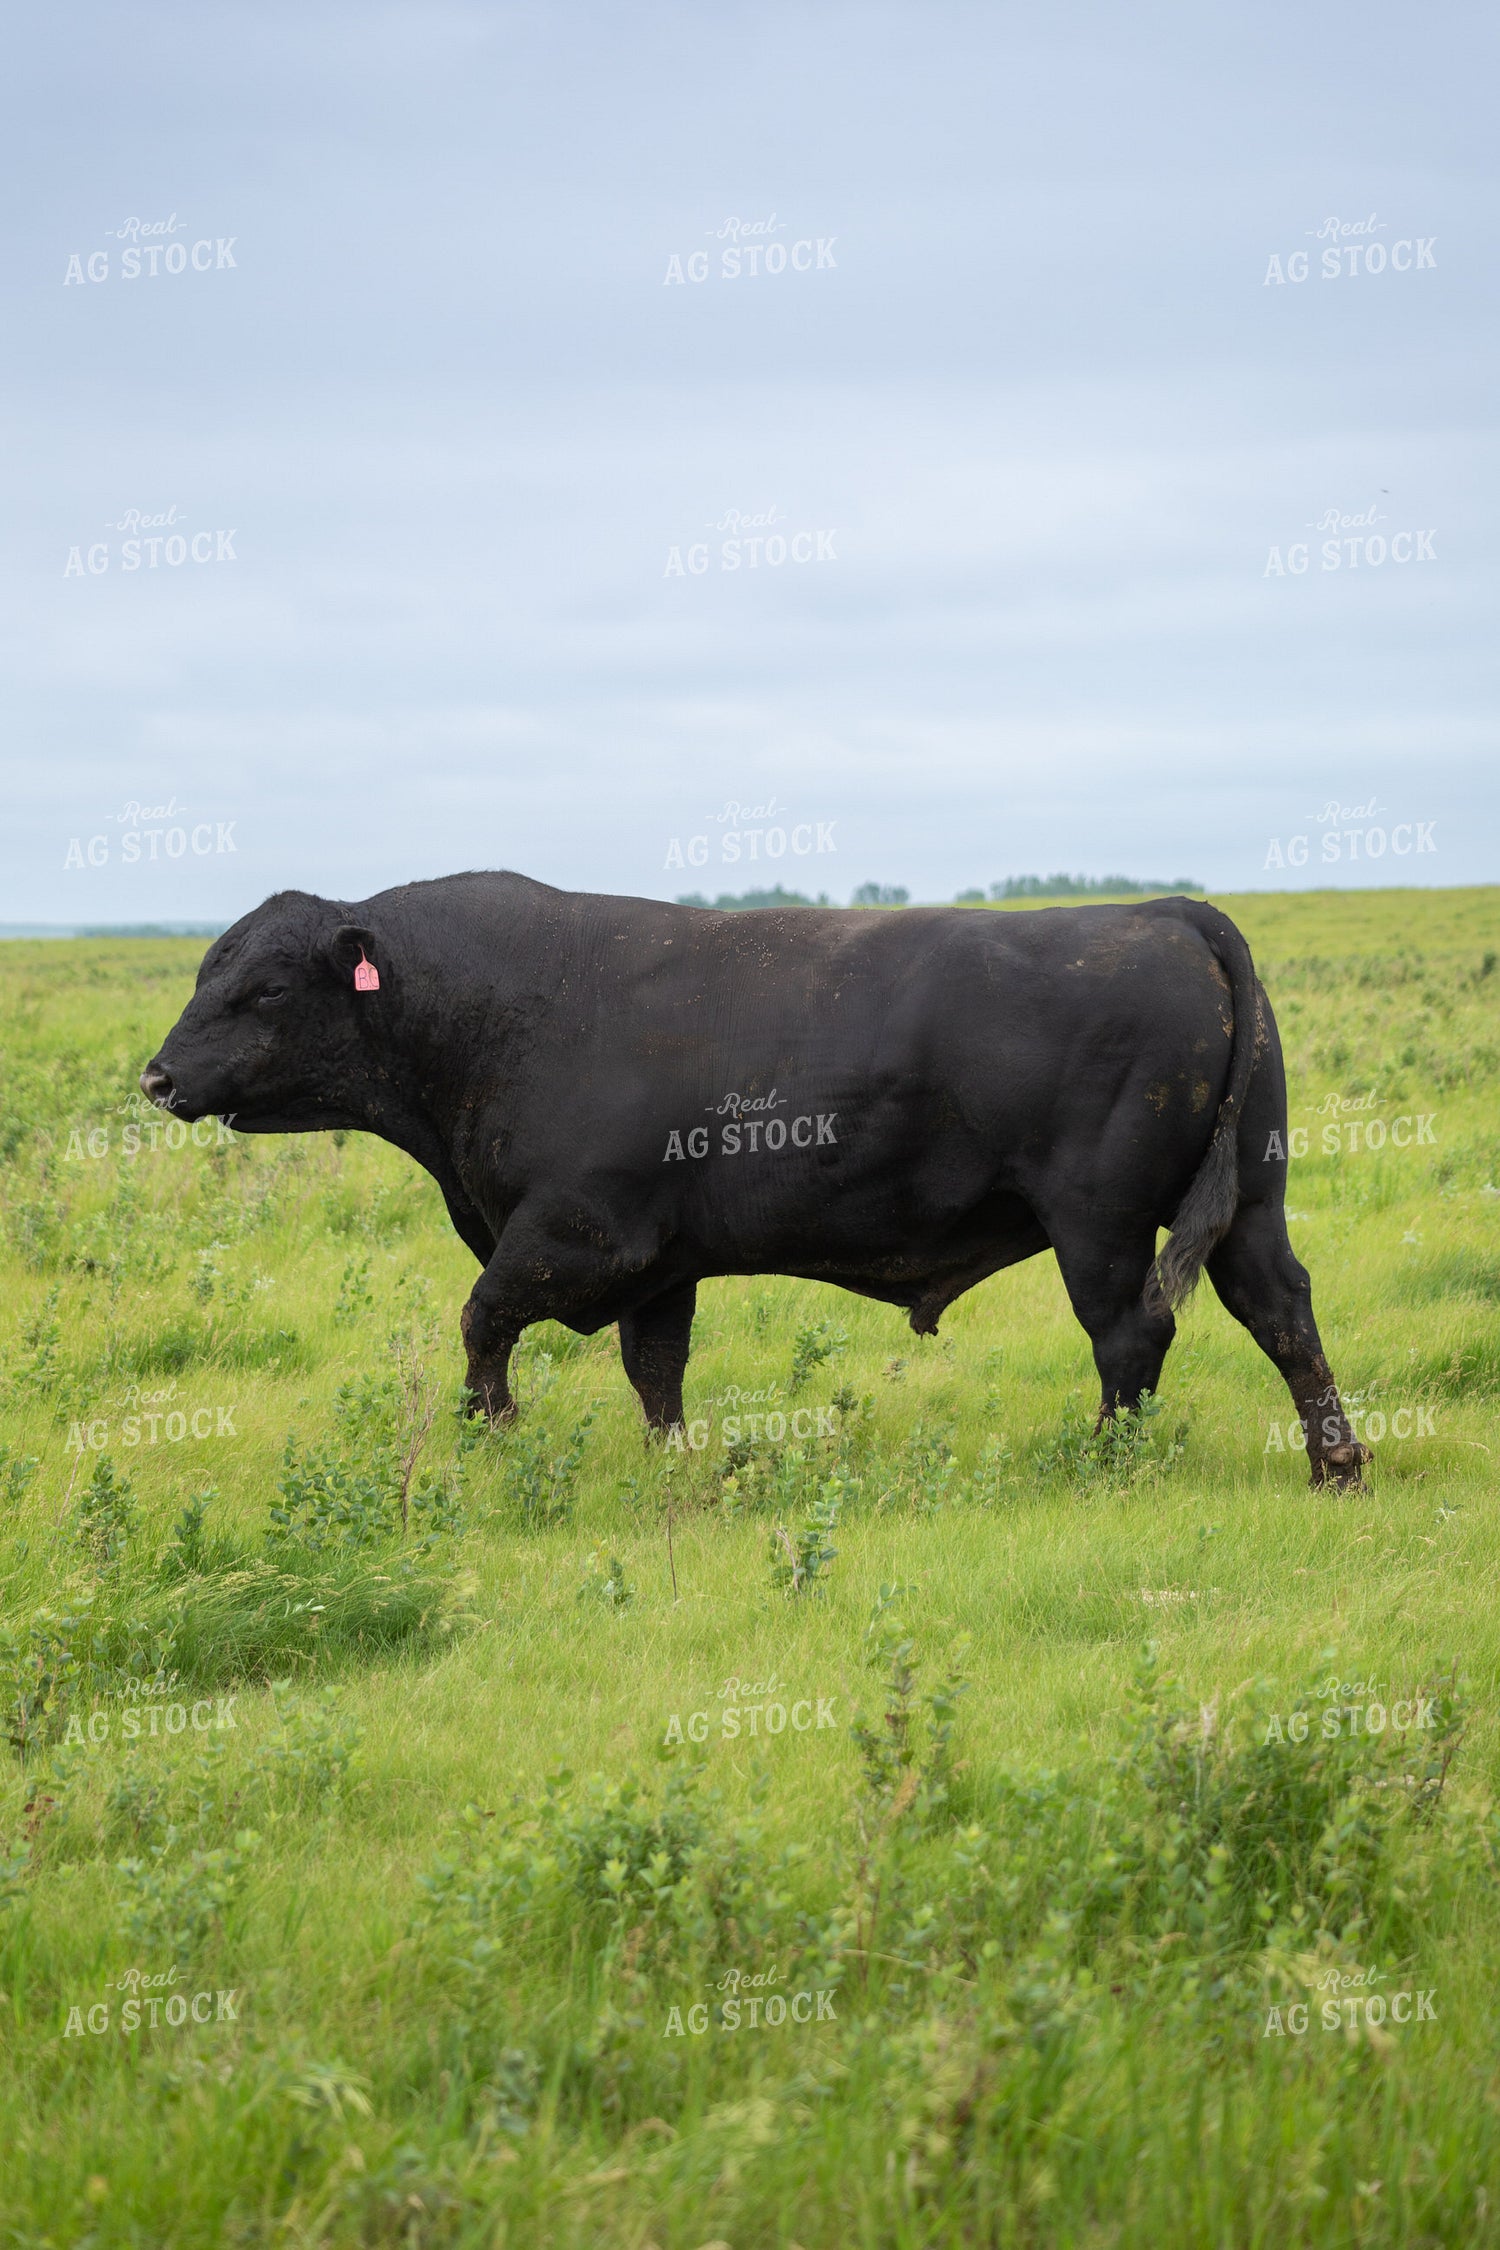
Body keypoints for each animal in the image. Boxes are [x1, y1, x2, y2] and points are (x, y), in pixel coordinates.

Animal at [141, 873, 1369, 1487]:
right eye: (205, 970)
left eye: (262, 989)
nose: (156, 1077)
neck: (494, 1011)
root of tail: (1164, 910)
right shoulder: (659, 1263)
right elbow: (656, 1371)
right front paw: (674, 1469)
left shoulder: (578, 1231)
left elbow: (483, 1319)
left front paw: (493, 1436)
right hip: (1251, 1201)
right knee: (1282, 1313)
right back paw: (1336, 1463)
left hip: (1100, 1222)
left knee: (1133, 1335)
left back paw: (1107, 1464)